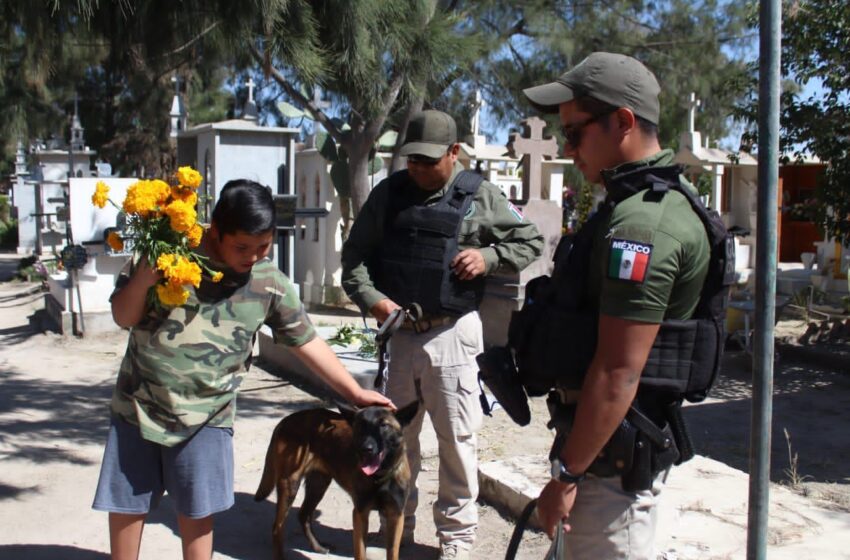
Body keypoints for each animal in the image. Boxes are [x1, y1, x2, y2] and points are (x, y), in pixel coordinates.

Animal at [255, 402, 420, 560]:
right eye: (360, 426)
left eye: (384, 426)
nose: (365, 448)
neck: (379, 476)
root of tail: (286, 420)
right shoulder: (360, 513)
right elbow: (360, 553)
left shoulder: (396, 516)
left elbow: (392, 552)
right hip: (290, 484)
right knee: (277, 527)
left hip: (318, 485)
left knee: (303, 515)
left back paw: (318, 547)